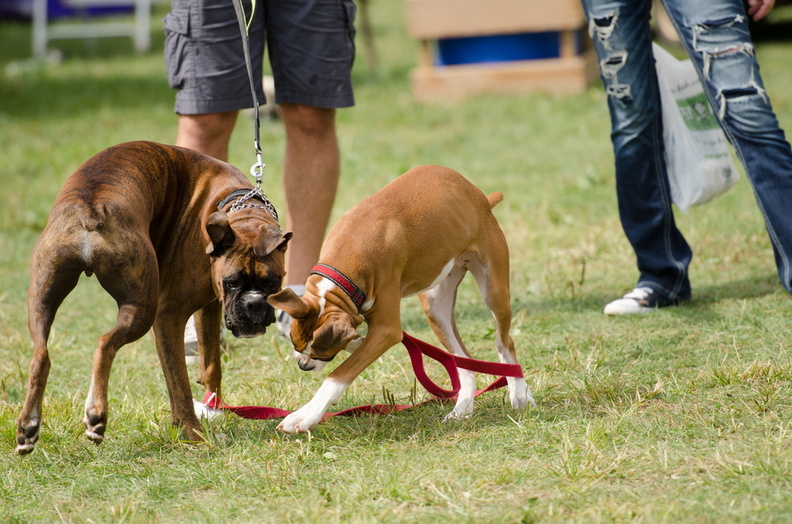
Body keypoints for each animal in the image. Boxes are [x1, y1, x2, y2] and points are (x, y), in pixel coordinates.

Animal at [14, 140, 290, 454]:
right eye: (232, 282)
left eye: (273, 282)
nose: (254, 303)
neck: (232, 204)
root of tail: (90, 206)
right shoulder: (169, 316)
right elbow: (179, 385)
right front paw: (192, 430)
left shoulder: (209, 305)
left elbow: (211, 364)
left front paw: (213, 406)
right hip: (142, 308)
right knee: (105, 343)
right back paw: (98, 415)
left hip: (41, 299)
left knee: (41, 356)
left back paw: (29, 427)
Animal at [270, 165, 536, 434]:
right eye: (293, 341)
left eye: (321, 353)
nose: (303, 365)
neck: (341, 275)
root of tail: (481, 198)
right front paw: (356, 341)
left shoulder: (386, 331)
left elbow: (338, 375)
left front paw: (306, 416)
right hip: (435, 308)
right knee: (464, 363)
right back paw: (462, 409)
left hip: (494, 292)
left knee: (504, 342)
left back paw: (519, 393)